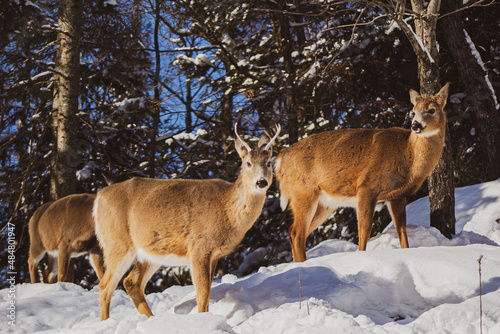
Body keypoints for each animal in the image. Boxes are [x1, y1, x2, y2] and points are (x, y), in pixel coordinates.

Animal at [94, 123, 282, 320]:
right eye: (248, 163)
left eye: (268, 162)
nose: (261, 182)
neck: (226, 208)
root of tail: (99, 197)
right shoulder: (199, 247)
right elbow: (202, 294)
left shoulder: (214, 255)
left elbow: (207, 292)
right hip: (116, 242)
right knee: (105, 285)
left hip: (150, 251)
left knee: (131, 282)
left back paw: (151, 318)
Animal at [276, 83, 452, 260]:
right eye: (414, 111)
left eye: (431, 110)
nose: (415, 125)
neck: (408, 155)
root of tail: (280, 158)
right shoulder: (366, 187)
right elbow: (364, 230)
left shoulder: (397, 196)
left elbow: (401, 230)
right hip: (303, 192)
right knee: (297, 232)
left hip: (326, 203)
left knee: (296, 231)